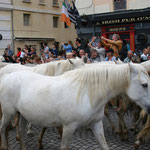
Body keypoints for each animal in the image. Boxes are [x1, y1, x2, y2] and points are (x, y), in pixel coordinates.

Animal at [0, 63, 149, 150]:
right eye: (144, 84)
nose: (149, 108)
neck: (86, 93)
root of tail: (7, 76)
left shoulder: (96, 124)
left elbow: (104, 145)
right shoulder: (68, 127)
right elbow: (64, 147)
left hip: (23, 115)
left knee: (20, 131)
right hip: (8, 113)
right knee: (3, 128)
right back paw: (4, 146)